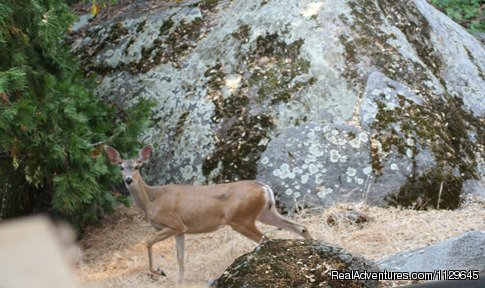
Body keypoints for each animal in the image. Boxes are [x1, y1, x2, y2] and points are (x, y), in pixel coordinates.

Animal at [104, 144, 312, 282]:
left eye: (137, 166)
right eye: (121, 167)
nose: (128, 180)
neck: (152, 200)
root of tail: (264, 187)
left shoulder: (173, 224)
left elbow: (148, 242)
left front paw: (160, 271)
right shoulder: (181, 230)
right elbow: (181, 259)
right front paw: (179, 281)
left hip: (240, 218)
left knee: (265, 239)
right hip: (265, 212)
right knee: (299, 227)